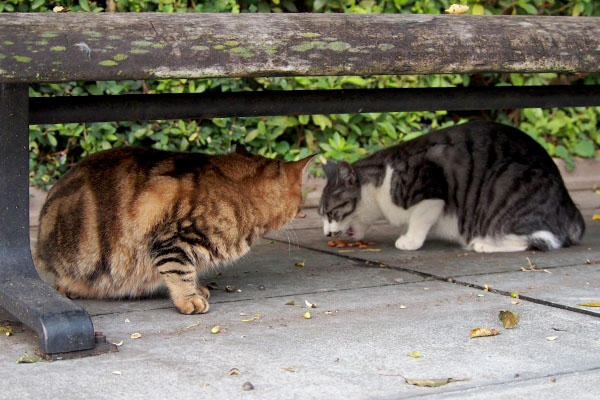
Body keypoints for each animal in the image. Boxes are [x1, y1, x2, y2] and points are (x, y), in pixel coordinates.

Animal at [318, 121, 584, 253]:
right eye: (322, 216)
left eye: (331, 213)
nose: (326, 234)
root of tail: (570, 208)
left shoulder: (432, 189)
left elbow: (420, 219)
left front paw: (409, 240)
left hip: (505, 182)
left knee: (543, 240)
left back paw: (483, 244)